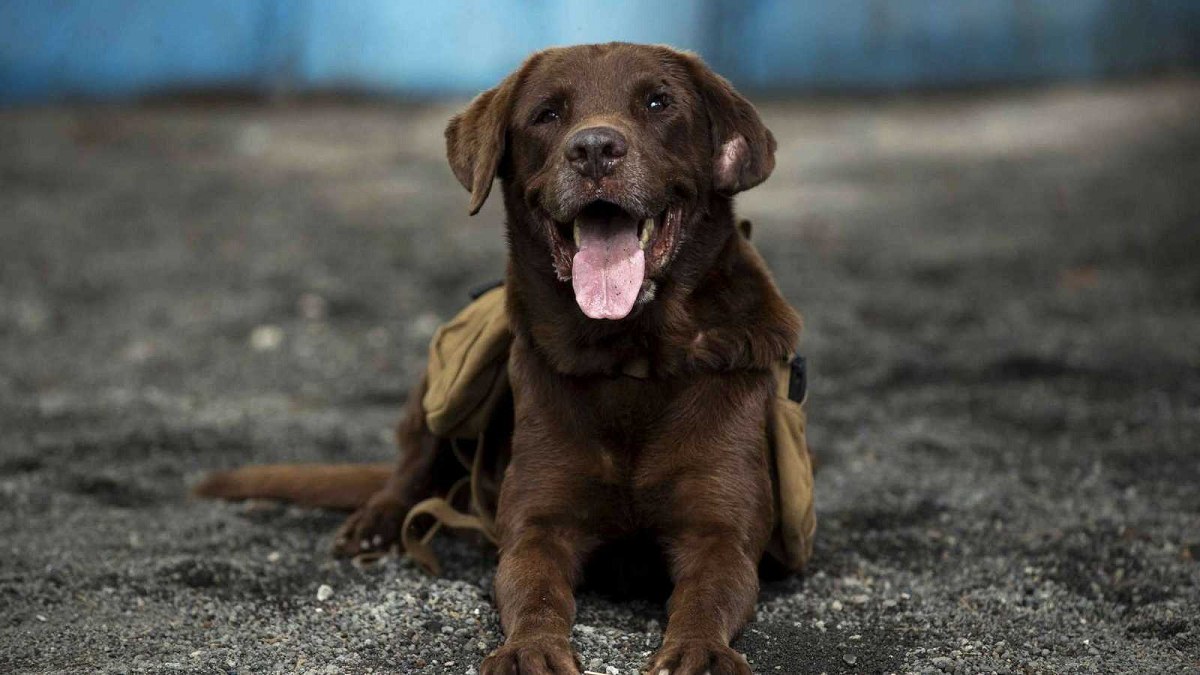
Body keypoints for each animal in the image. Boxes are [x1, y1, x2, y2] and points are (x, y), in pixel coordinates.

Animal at [199, 43, 806, 672]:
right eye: (547, 115)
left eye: (659, 103)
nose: (594, 149)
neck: (630, 360)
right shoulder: (537, 526)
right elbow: (534, 590)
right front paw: (529, 649)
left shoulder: (720, 533)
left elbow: (707, 593)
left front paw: (701, 651)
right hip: (442, 383)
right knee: (411, 467)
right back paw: (376, 521)